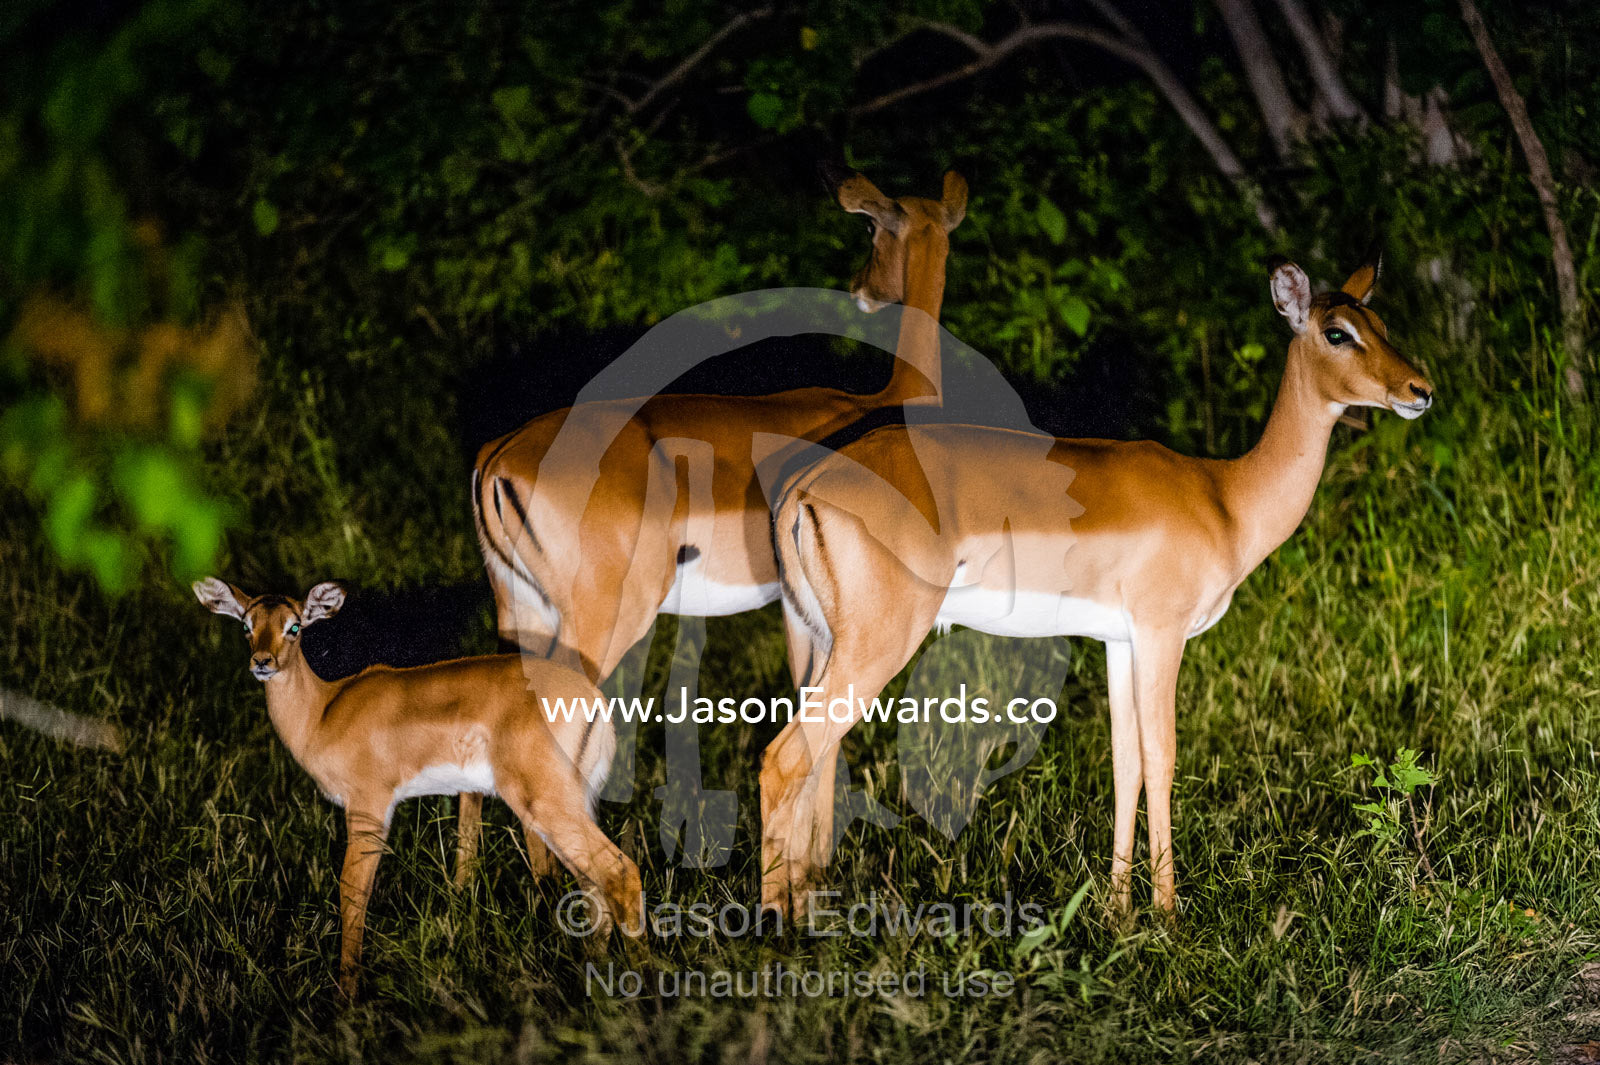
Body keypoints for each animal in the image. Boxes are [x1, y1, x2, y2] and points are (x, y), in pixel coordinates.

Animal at [192, 577, 643, 999]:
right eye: (247, 624)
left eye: (295, 626)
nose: (262, 662)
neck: (324, 712)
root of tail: (593, 699)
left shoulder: (369, 805)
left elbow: (353, 893)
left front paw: (345, 997)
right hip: (573, 803)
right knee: (593, 884)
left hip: (544, 803)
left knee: (619, 871)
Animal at [464, 168, 967, 878]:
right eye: (871, 226)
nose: (862, 290)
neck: (889, 402)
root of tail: (498, 455)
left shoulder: (799, 613)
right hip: (600, 620)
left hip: (520, 613)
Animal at [762, 252, 1434, 919]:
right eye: (1337, 333)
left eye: (1381, 324)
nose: (1419, 391)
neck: (1225, 498)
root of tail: (806, 484)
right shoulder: (1162, 632)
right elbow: (1162, 756)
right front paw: (1166, 915)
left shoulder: (1120, 641)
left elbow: (1125, 761)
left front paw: (1118, 910)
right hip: (880, 642)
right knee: (785, 757)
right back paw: (777, 922)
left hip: (821, 641)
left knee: (810, 756)